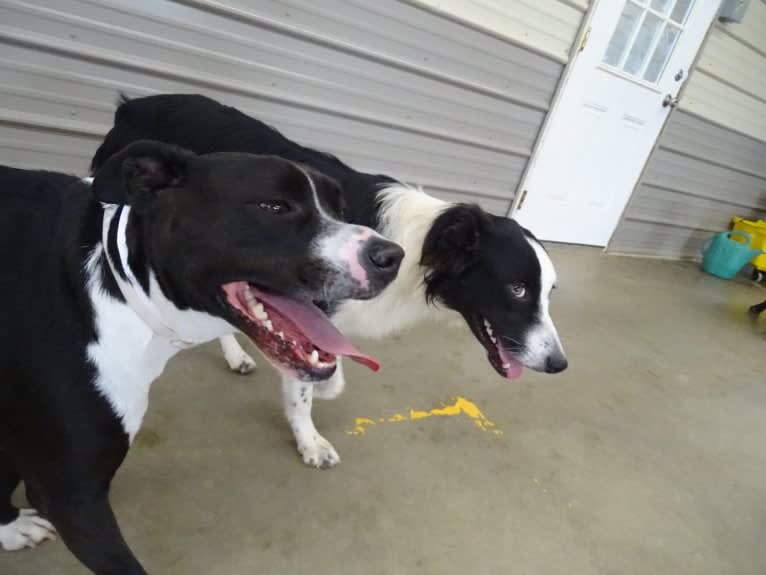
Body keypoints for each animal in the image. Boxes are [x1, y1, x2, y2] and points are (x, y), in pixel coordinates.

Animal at [0, 141, 404, 575]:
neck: (121, 286)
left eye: (339, 208)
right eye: (274, 206)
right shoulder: (73, 498)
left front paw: (8, 528)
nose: (391, 256)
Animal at [90, 94, 568, 470]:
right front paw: (311, 438)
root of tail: (131, 105)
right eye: (518, 289)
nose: (559, 364)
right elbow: (308, 381)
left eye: (547, 292)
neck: (421, 244)